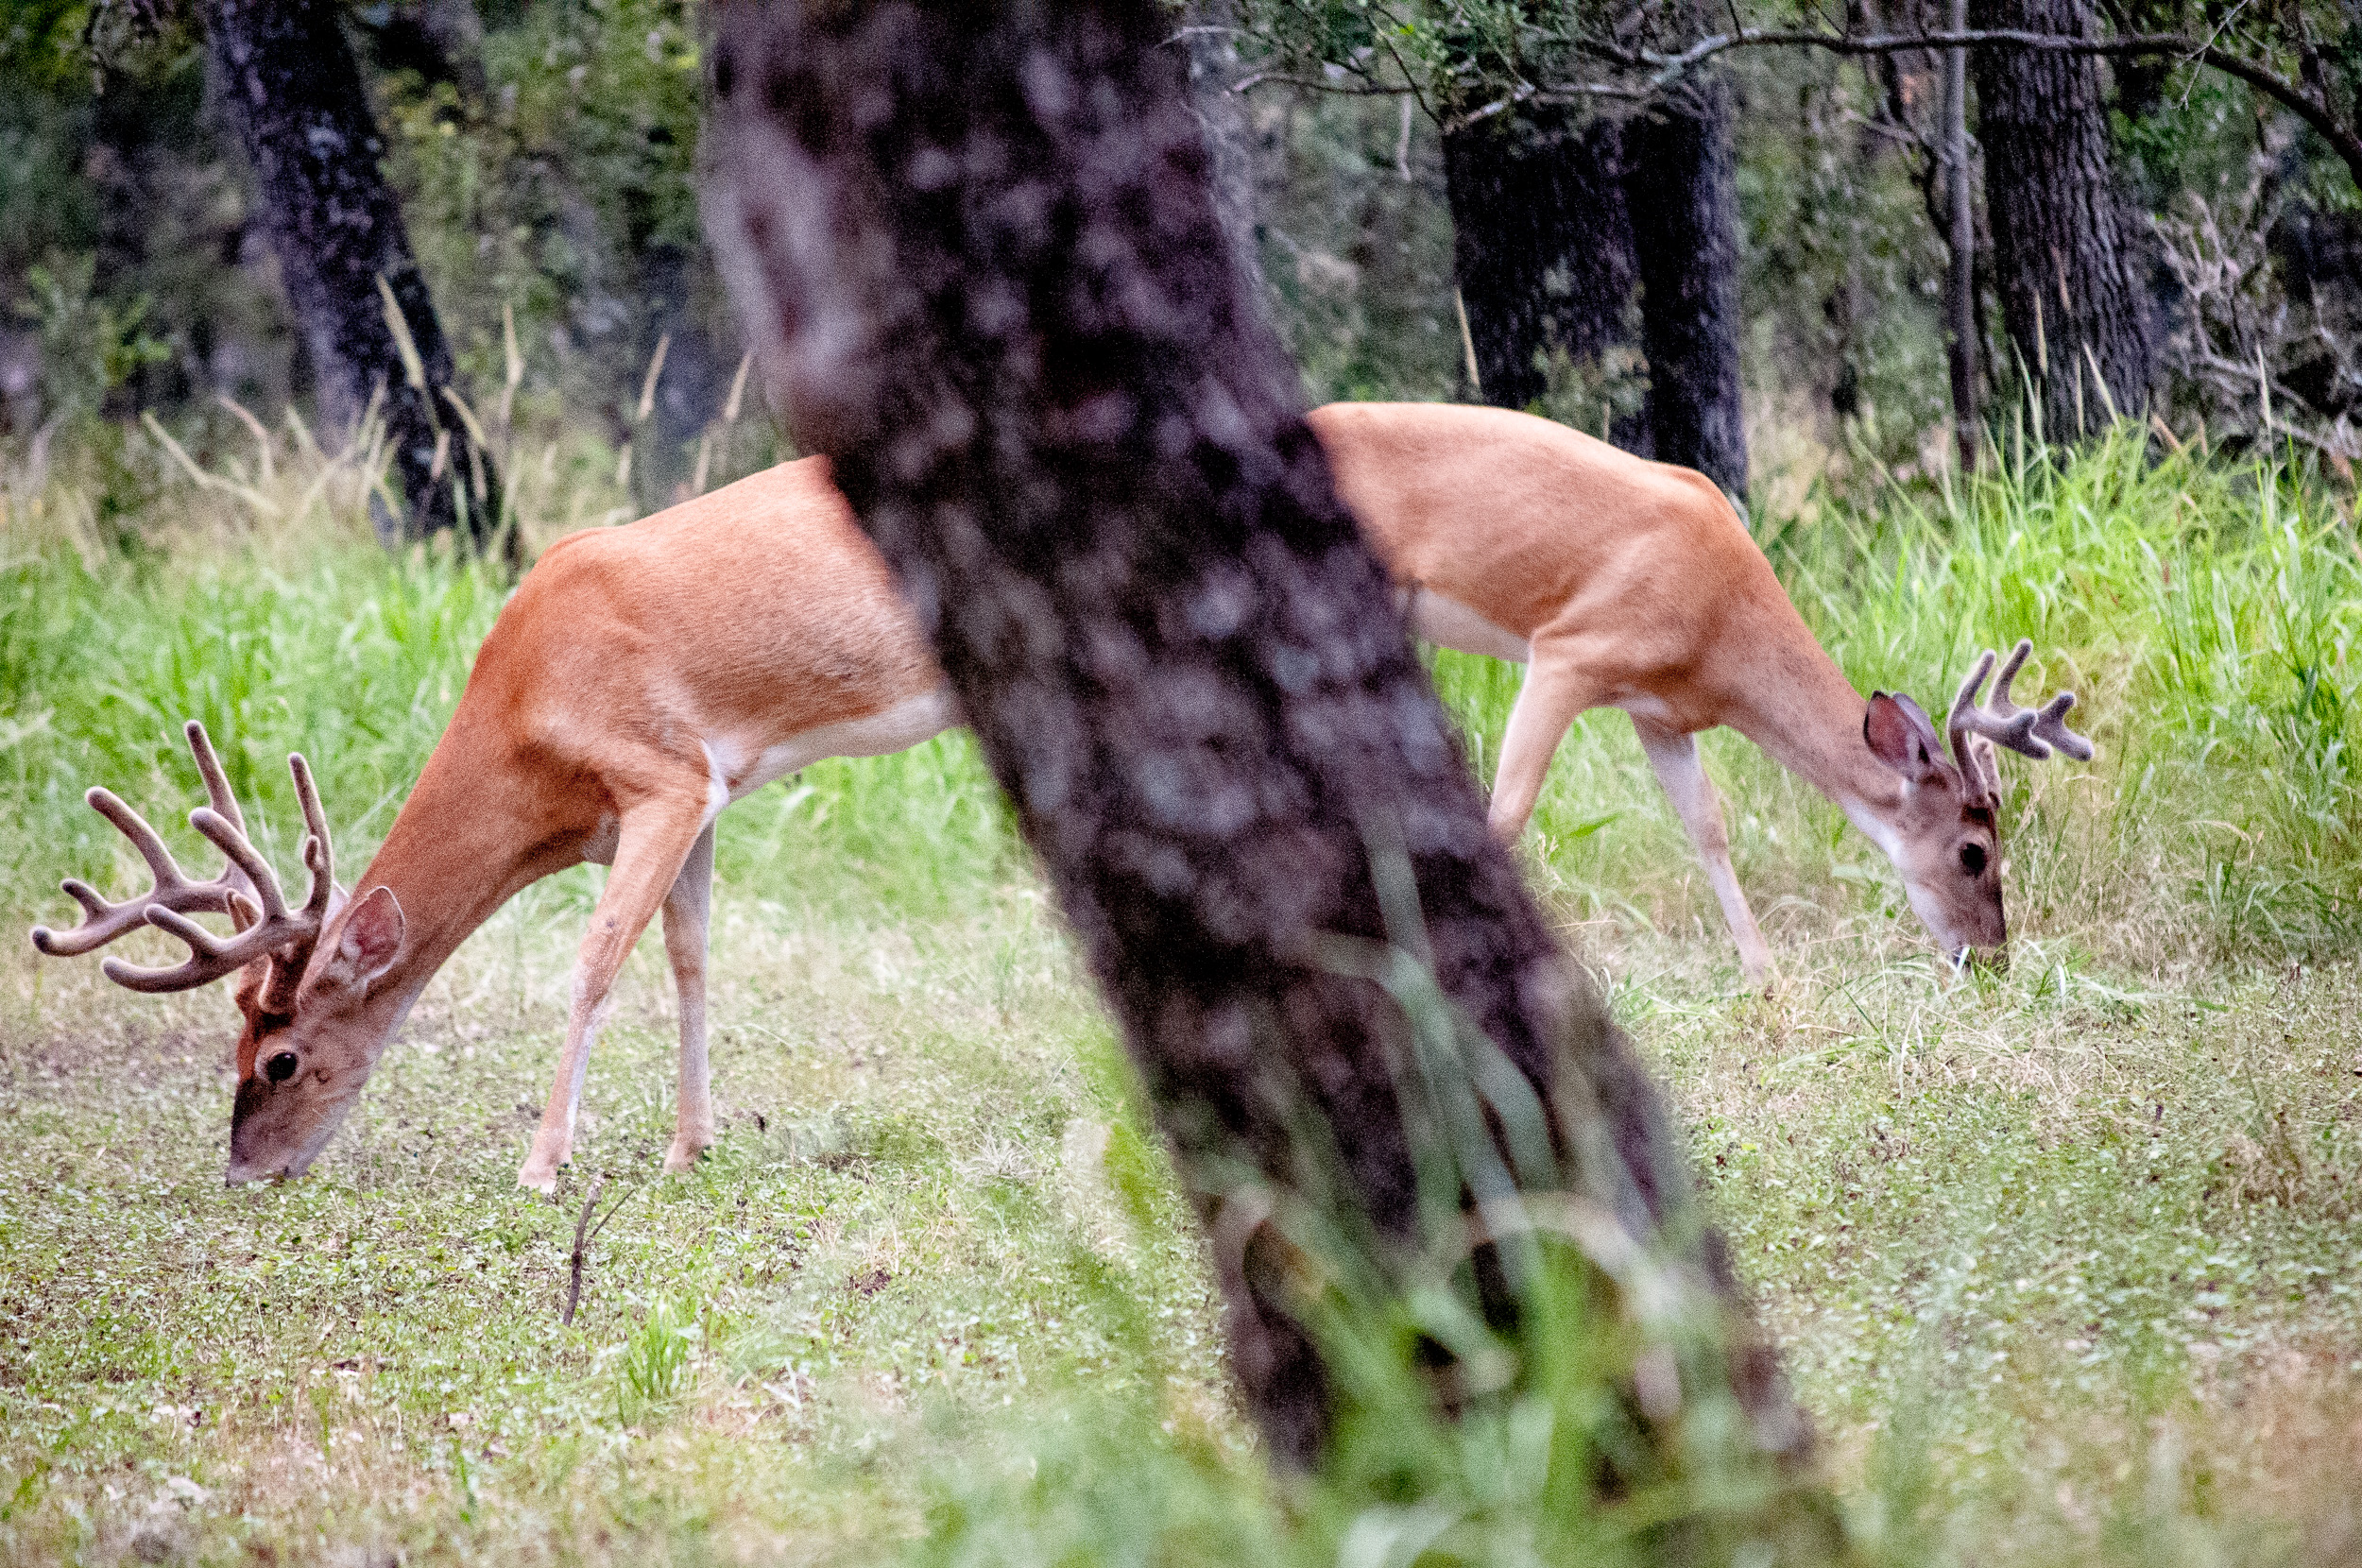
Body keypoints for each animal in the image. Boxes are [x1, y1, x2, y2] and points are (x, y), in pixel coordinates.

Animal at [1313, 401, 2107, 982]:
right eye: (1974, 852)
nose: (1994, 961)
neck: (1721, 632)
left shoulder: (1659, 713)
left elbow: (1708, 826)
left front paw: (1765, 977)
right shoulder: (1569, 651)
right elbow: (1506, 814)